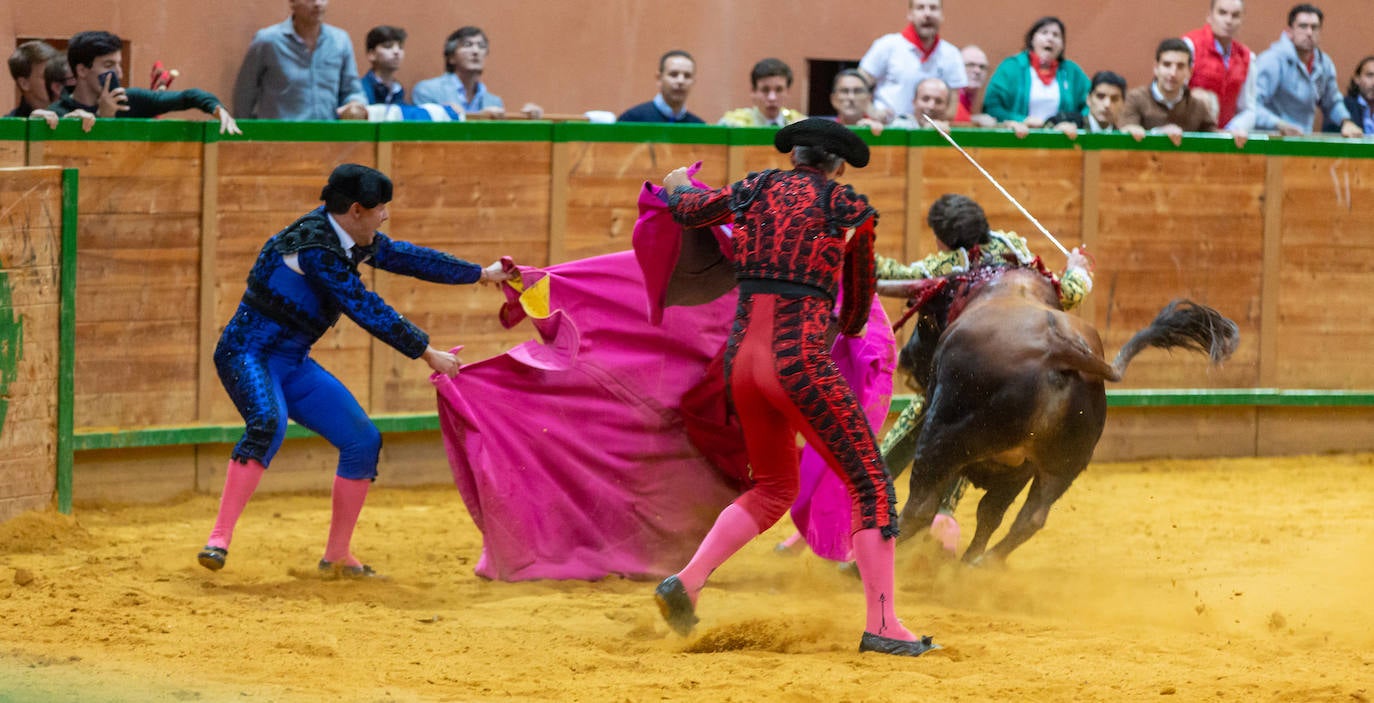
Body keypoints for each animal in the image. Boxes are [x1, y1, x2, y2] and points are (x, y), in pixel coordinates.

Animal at [895, 266, 1242, 562]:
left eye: (923, 321)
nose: (905, 361)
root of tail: (1058, 349)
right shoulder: (1020, 468)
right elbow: (991, 513)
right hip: (1059, 466)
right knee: (1028, 518)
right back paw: (976, 566)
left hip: (943, 437)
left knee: (921, 505)